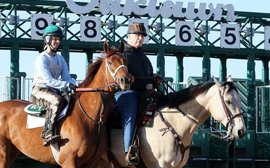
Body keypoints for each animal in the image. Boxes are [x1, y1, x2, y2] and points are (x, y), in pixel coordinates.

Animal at [0, 40, 133, 167]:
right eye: (110, 62)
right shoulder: (68, 160)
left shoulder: (92, 162)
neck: (90, 117)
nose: (125, 80)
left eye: (125, 60)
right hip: (3, 153)